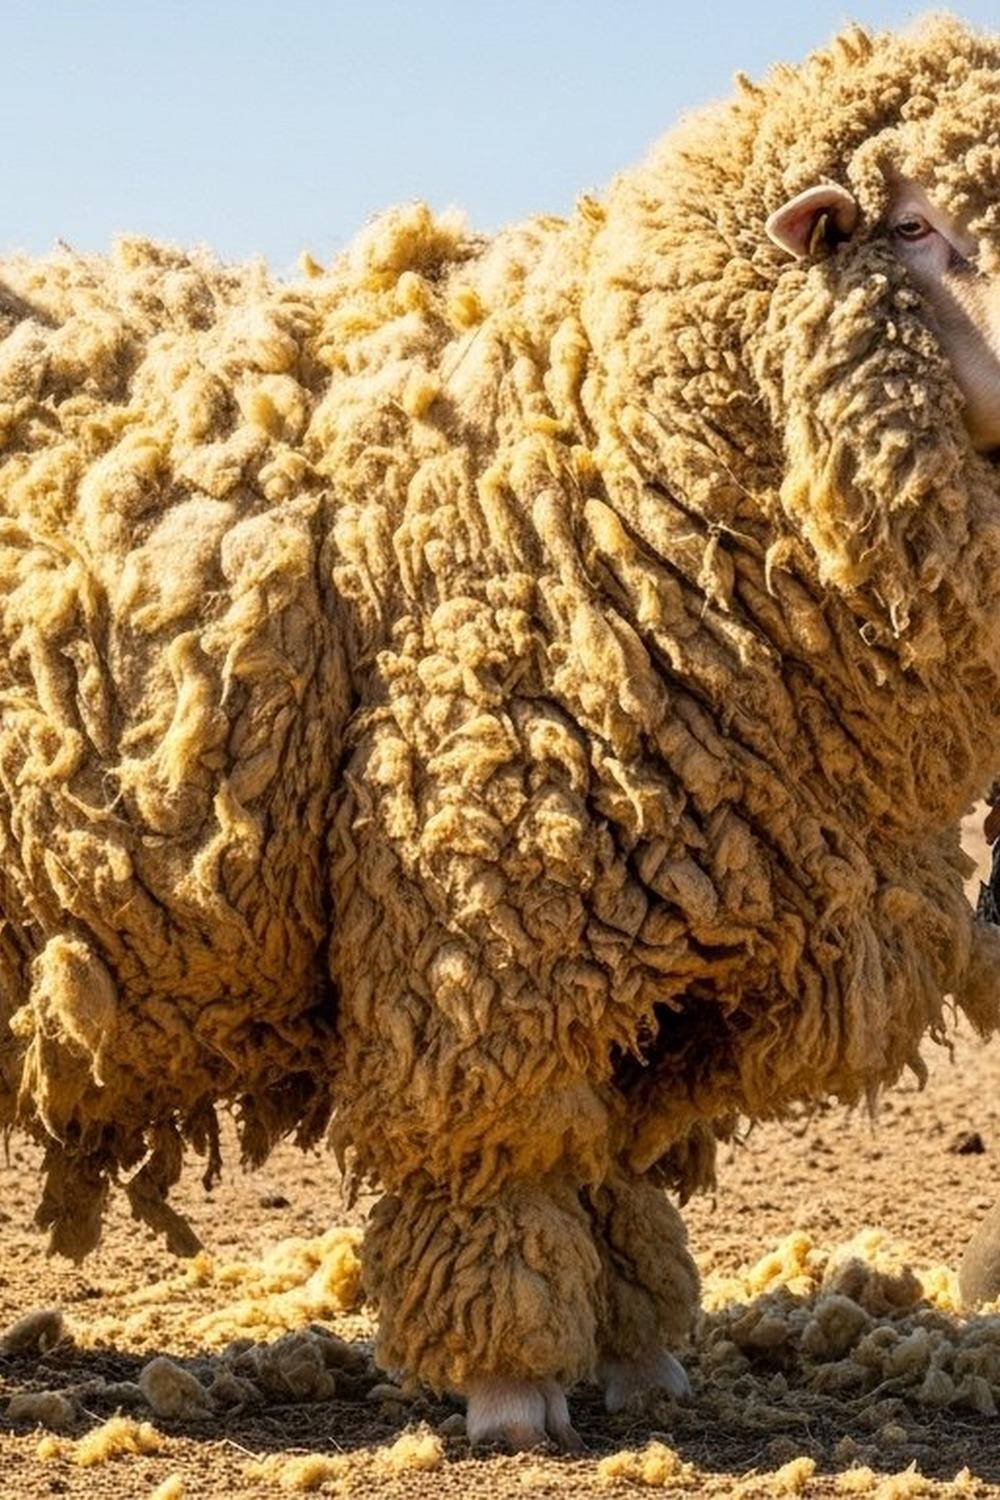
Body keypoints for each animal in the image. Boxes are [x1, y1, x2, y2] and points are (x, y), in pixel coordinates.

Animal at [2, 13, 1000, 1451]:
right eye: (919, 226)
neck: (606, 456)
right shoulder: (480, 934)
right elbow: (510, 1163)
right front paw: (512, 1387)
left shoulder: (671, 938)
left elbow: (621, 1176)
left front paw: (644, 1359)